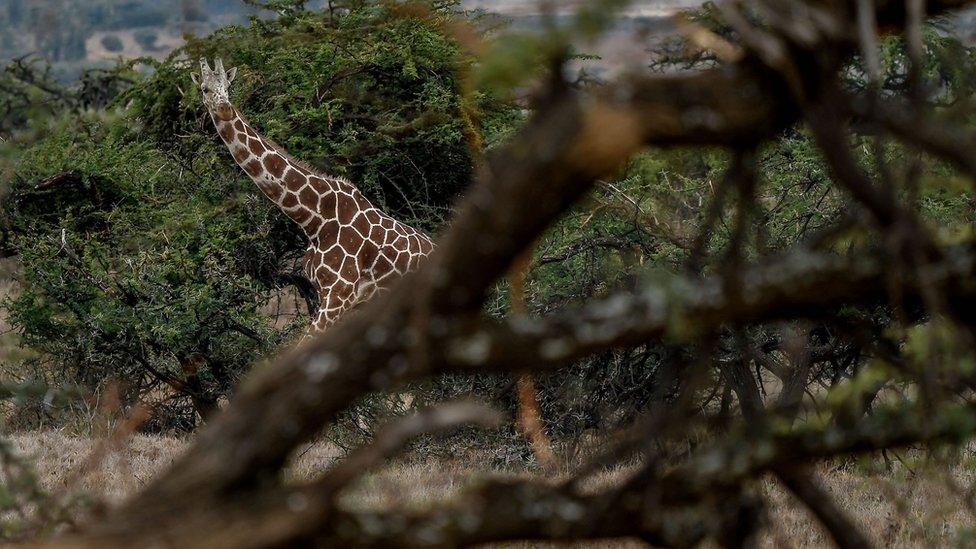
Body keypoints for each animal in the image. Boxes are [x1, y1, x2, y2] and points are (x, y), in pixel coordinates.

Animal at [192, 57, 434, 332]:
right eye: (204, 89)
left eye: (228, 87)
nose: (224, 108)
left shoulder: (339, 294)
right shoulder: (327, 295)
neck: (315, 218)